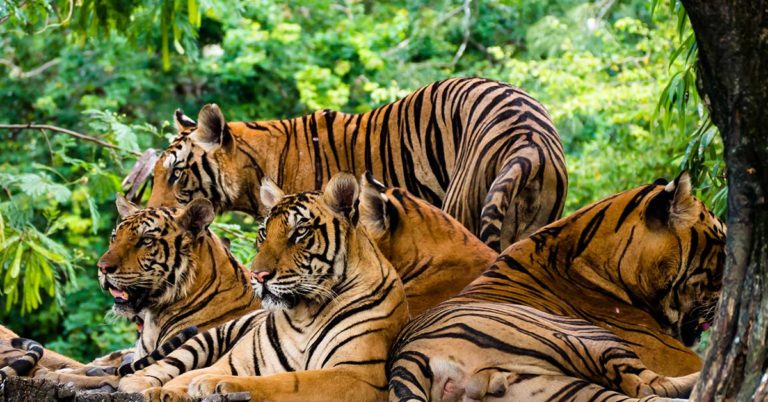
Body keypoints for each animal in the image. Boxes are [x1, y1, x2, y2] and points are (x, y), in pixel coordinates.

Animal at [118, 172, 409, 402]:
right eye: (263, 234)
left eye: (300, 232)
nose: (258, 275)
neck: (305, 313)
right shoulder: (231, 360)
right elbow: (188, 375)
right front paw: (170, 390)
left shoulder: (356, 374)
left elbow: (289, 380)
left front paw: (216, 385)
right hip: (207, 338)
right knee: (166, 365)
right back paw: (141, 384)